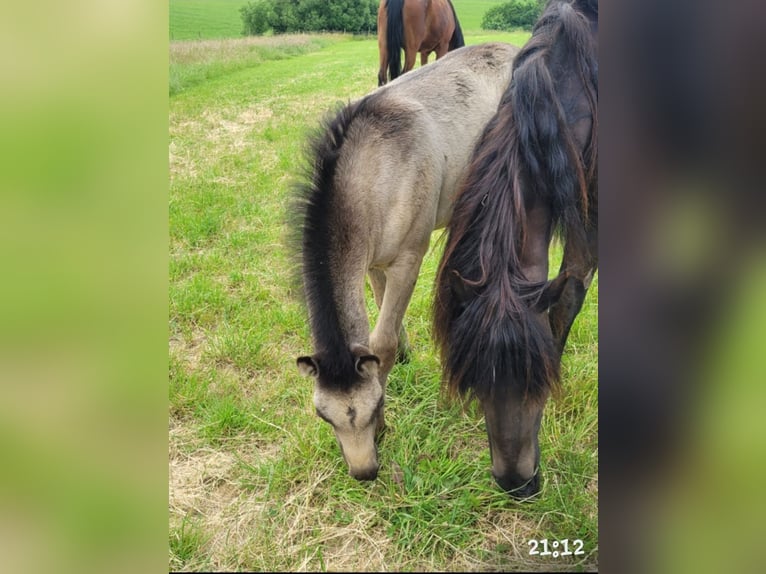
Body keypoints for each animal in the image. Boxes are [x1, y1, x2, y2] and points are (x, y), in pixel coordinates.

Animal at [292, 44, 520, 482]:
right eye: (323, 416)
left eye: (374, 407)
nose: (363, 472)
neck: (373, 174)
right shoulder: (373, 262)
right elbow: (381, 317)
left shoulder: (409, 258)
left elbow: (382, 340)